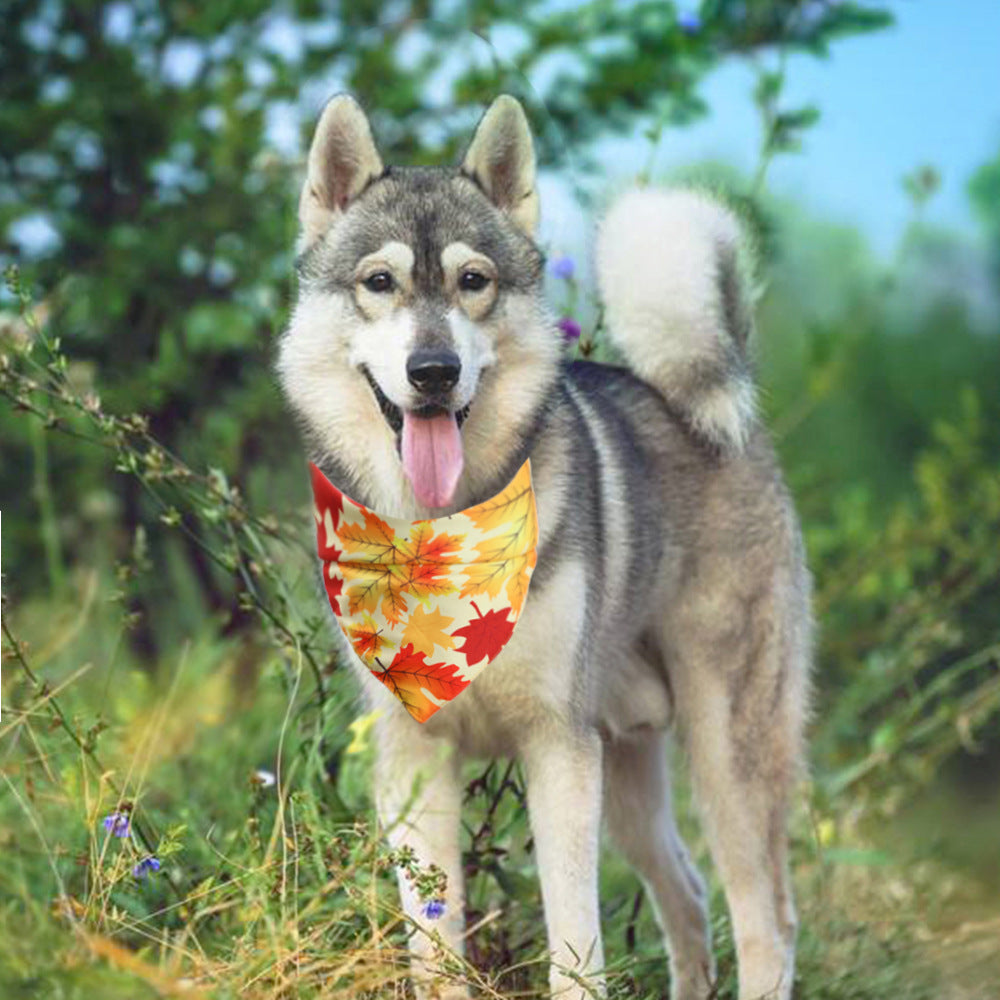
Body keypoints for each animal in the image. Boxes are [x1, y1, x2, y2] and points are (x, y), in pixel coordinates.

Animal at [276, 95, 812, 1000]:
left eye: (473, 281)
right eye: (379, 282)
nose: (432, 370)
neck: (437, 535)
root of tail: (707, 402)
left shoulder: (558, 751)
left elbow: (575, 946)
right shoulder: (417, 761)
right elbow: (436, 944)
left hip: (725, 754)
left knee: (764, 923)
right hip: (629, 774)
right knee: (688, 894)